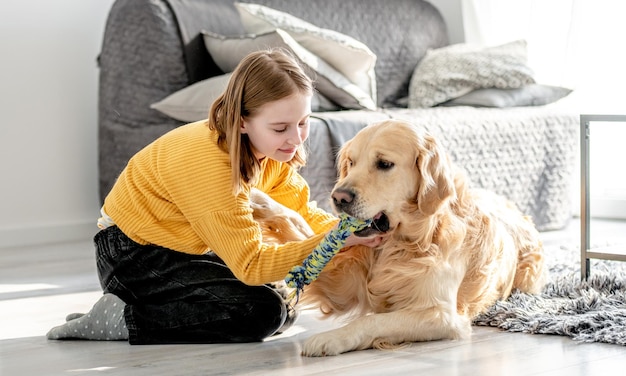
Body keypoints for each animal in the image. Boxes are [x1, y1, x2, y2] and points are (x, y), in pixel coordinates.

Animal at [251, 119, 544, 356]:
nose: (338, 198)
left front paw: (330, 339)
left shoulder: (441, 316)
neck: (408, 241)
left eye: (384, 164)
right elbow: (300, 229)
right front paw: (260, 200)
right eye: (351, 163)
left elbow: (371, 320)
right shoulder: (343, 284)